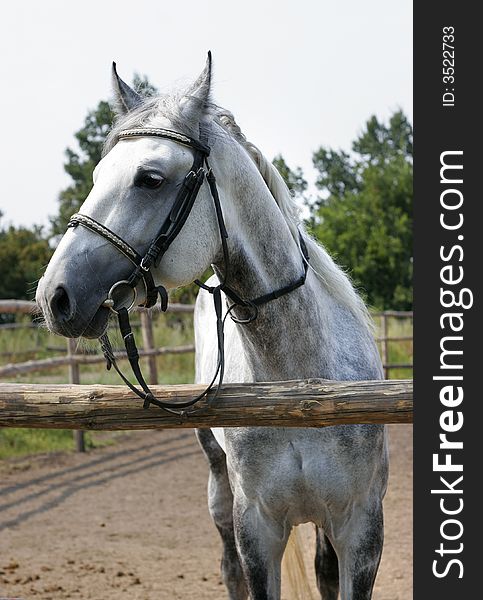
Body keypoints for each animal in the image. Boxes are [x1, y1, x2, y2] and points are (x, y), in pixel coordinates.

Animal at [36, 55, 388, 596]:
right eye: (97, 173)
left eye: (151, 178)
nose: (55, 296)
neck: (300, 385)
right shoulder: (256, 530)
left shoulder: (361, 530)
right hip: (218, 484)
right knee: (227, 565)